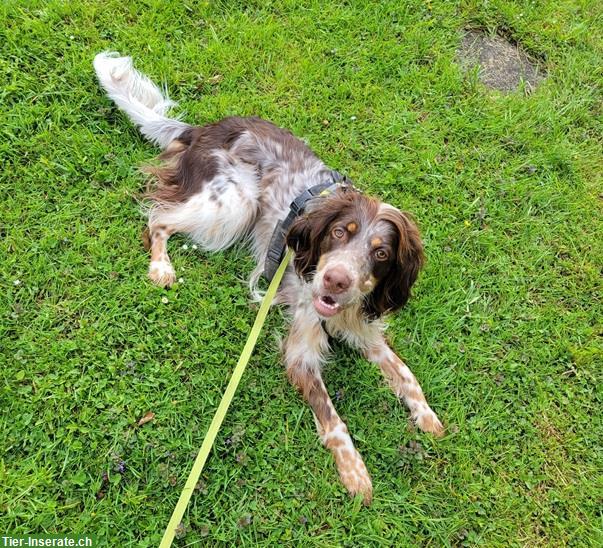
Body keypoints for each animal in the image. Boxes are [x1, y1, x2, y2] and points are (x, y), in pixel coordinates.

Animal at [93, 52, 444, 506]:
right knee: (158, 217)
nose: (334, 281)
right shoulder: (301, 350)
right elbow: (334, 420)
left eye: (381, 253)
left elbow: (406, 375)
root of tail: (202, 129)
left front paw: (426, 415)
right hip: (233, 203)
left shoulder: (364, 328)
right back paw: (161, 268)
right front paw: (355, 473)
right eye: (339, 232)